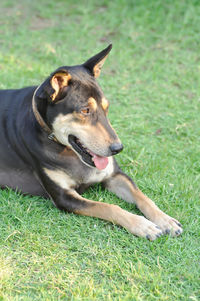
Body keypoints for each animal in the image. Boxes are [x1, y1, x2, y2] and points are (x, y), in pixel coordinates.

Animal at [0, 44, 183, 240]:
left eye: (107, 107)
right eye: (85, 110)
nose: (118, 148)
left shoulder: (114, 175)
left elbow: (142, 196)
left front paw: (165, 220)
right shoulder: (64, 197)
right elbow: (109, 207)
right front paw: (142, 225)